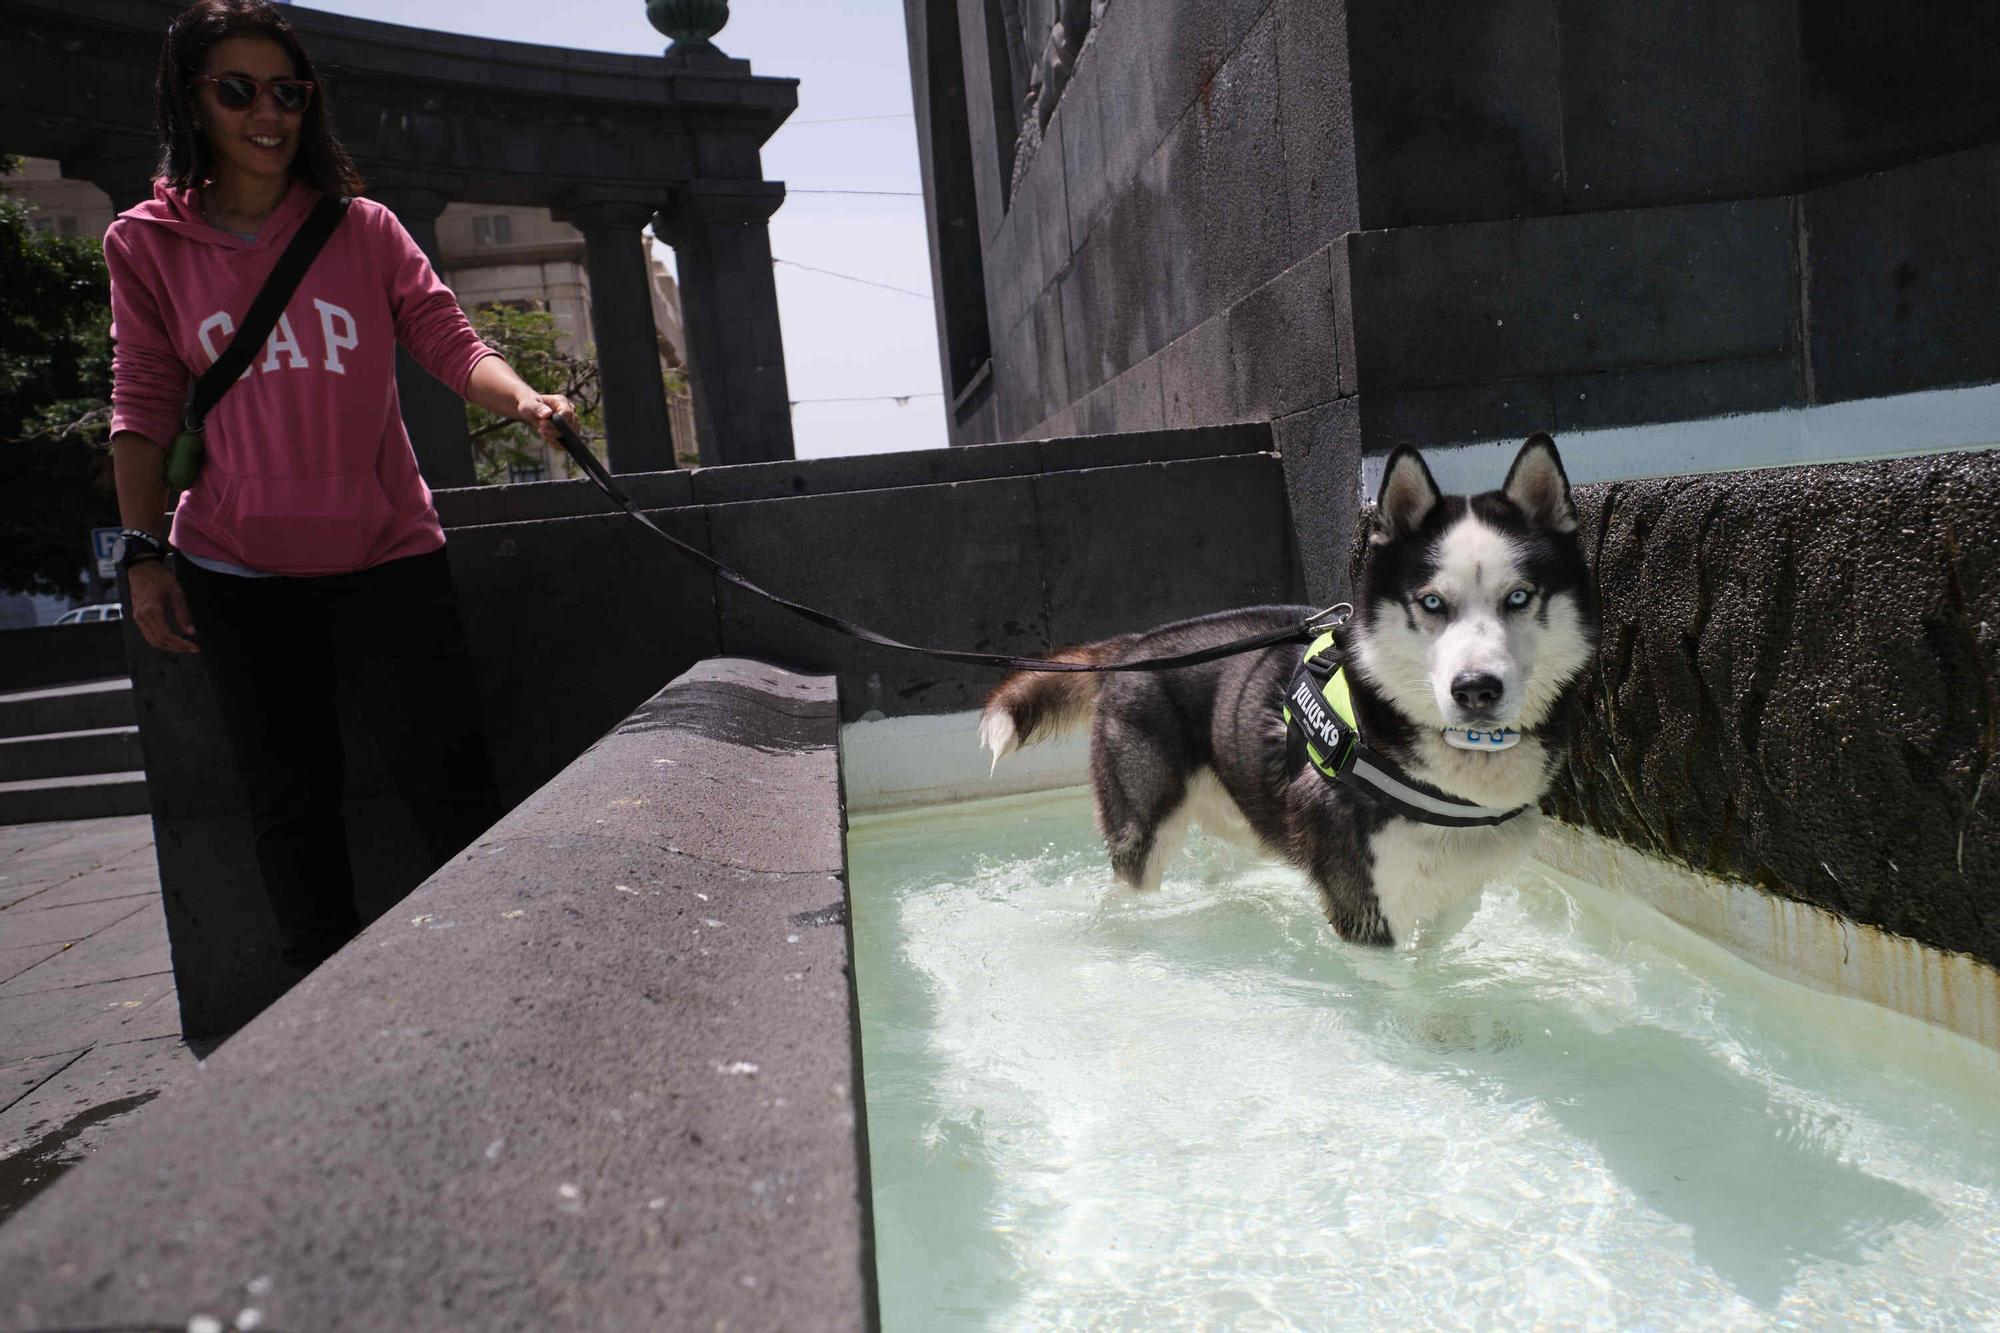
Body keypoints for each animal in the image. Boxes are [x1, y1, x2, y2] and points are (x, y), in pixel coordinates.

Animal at [976, 436, 1600, 944]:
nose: (1475, 690)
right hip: (1144, 827)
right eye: (1431, 602)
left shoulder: (1461, 889)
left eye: (1518, 597)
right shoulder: (1362, 907)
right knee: (1127, 886)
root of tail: (1136, 645)